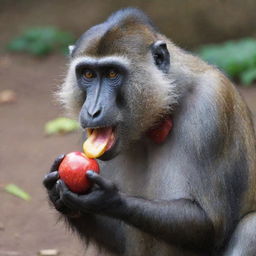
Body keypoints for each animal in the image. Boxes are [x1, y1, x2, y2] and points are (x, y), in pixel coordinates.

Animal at [43, 8, 256, 256]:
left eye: (112, 74)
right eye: (88, 74)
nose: (93, 110)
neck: (167, 102)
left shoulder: (211, 106)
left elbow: (212, 224)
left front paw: (109, 200)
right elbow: (117, 238)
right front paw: (57, 194)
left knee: (250, 229)